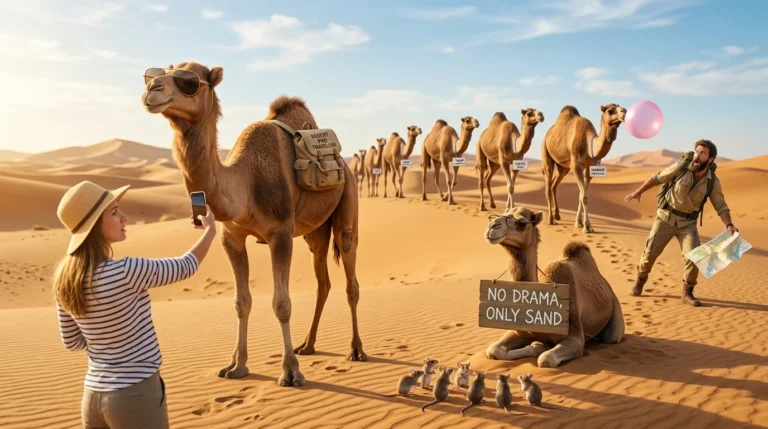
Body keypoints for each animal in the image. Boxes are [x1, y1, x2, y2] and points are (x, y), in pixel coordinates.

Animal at [141, 62, 366, 388]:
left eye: (190, 81)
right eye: (155, 73)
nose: (152, 89)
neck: (245, 182)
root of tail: (345, 164)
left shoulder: (280, 233)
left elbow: (282, 303)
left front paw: (290, 372)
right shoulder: (232, 236)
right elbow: (241, 301)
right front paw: (236, 366)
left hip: (348, 200)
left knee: (351, 276)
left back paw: (356, 350)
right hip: (315, 232)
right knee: (322, 282)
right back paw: (308, 345)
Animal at [483, 206, 624, 368]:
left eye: (521, 223)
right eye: (500, 214)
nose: (492, 226)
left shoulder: (575, 335)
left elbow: (546, 359)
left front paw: (540, 348)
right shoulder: (520, 331)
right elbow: (494, 350)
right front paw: (537, 346)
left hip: (615, 316)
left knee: (611, 337)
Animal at [541, 104, 626, 233]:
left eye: (620, 107)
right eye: (610, 110)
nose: (624, 111)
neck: (588, 144)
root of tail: (547, 134)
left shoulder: (589, 167)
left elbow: (582, 194)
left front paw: (580, 223)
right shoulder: (576, 166)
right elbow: (584, 196)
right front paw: (586, 227)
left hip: (563, 167)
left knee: (553, 185)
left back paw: (557, 215)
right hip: (546, 153)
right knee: (548, 184)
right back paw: (551, 220)